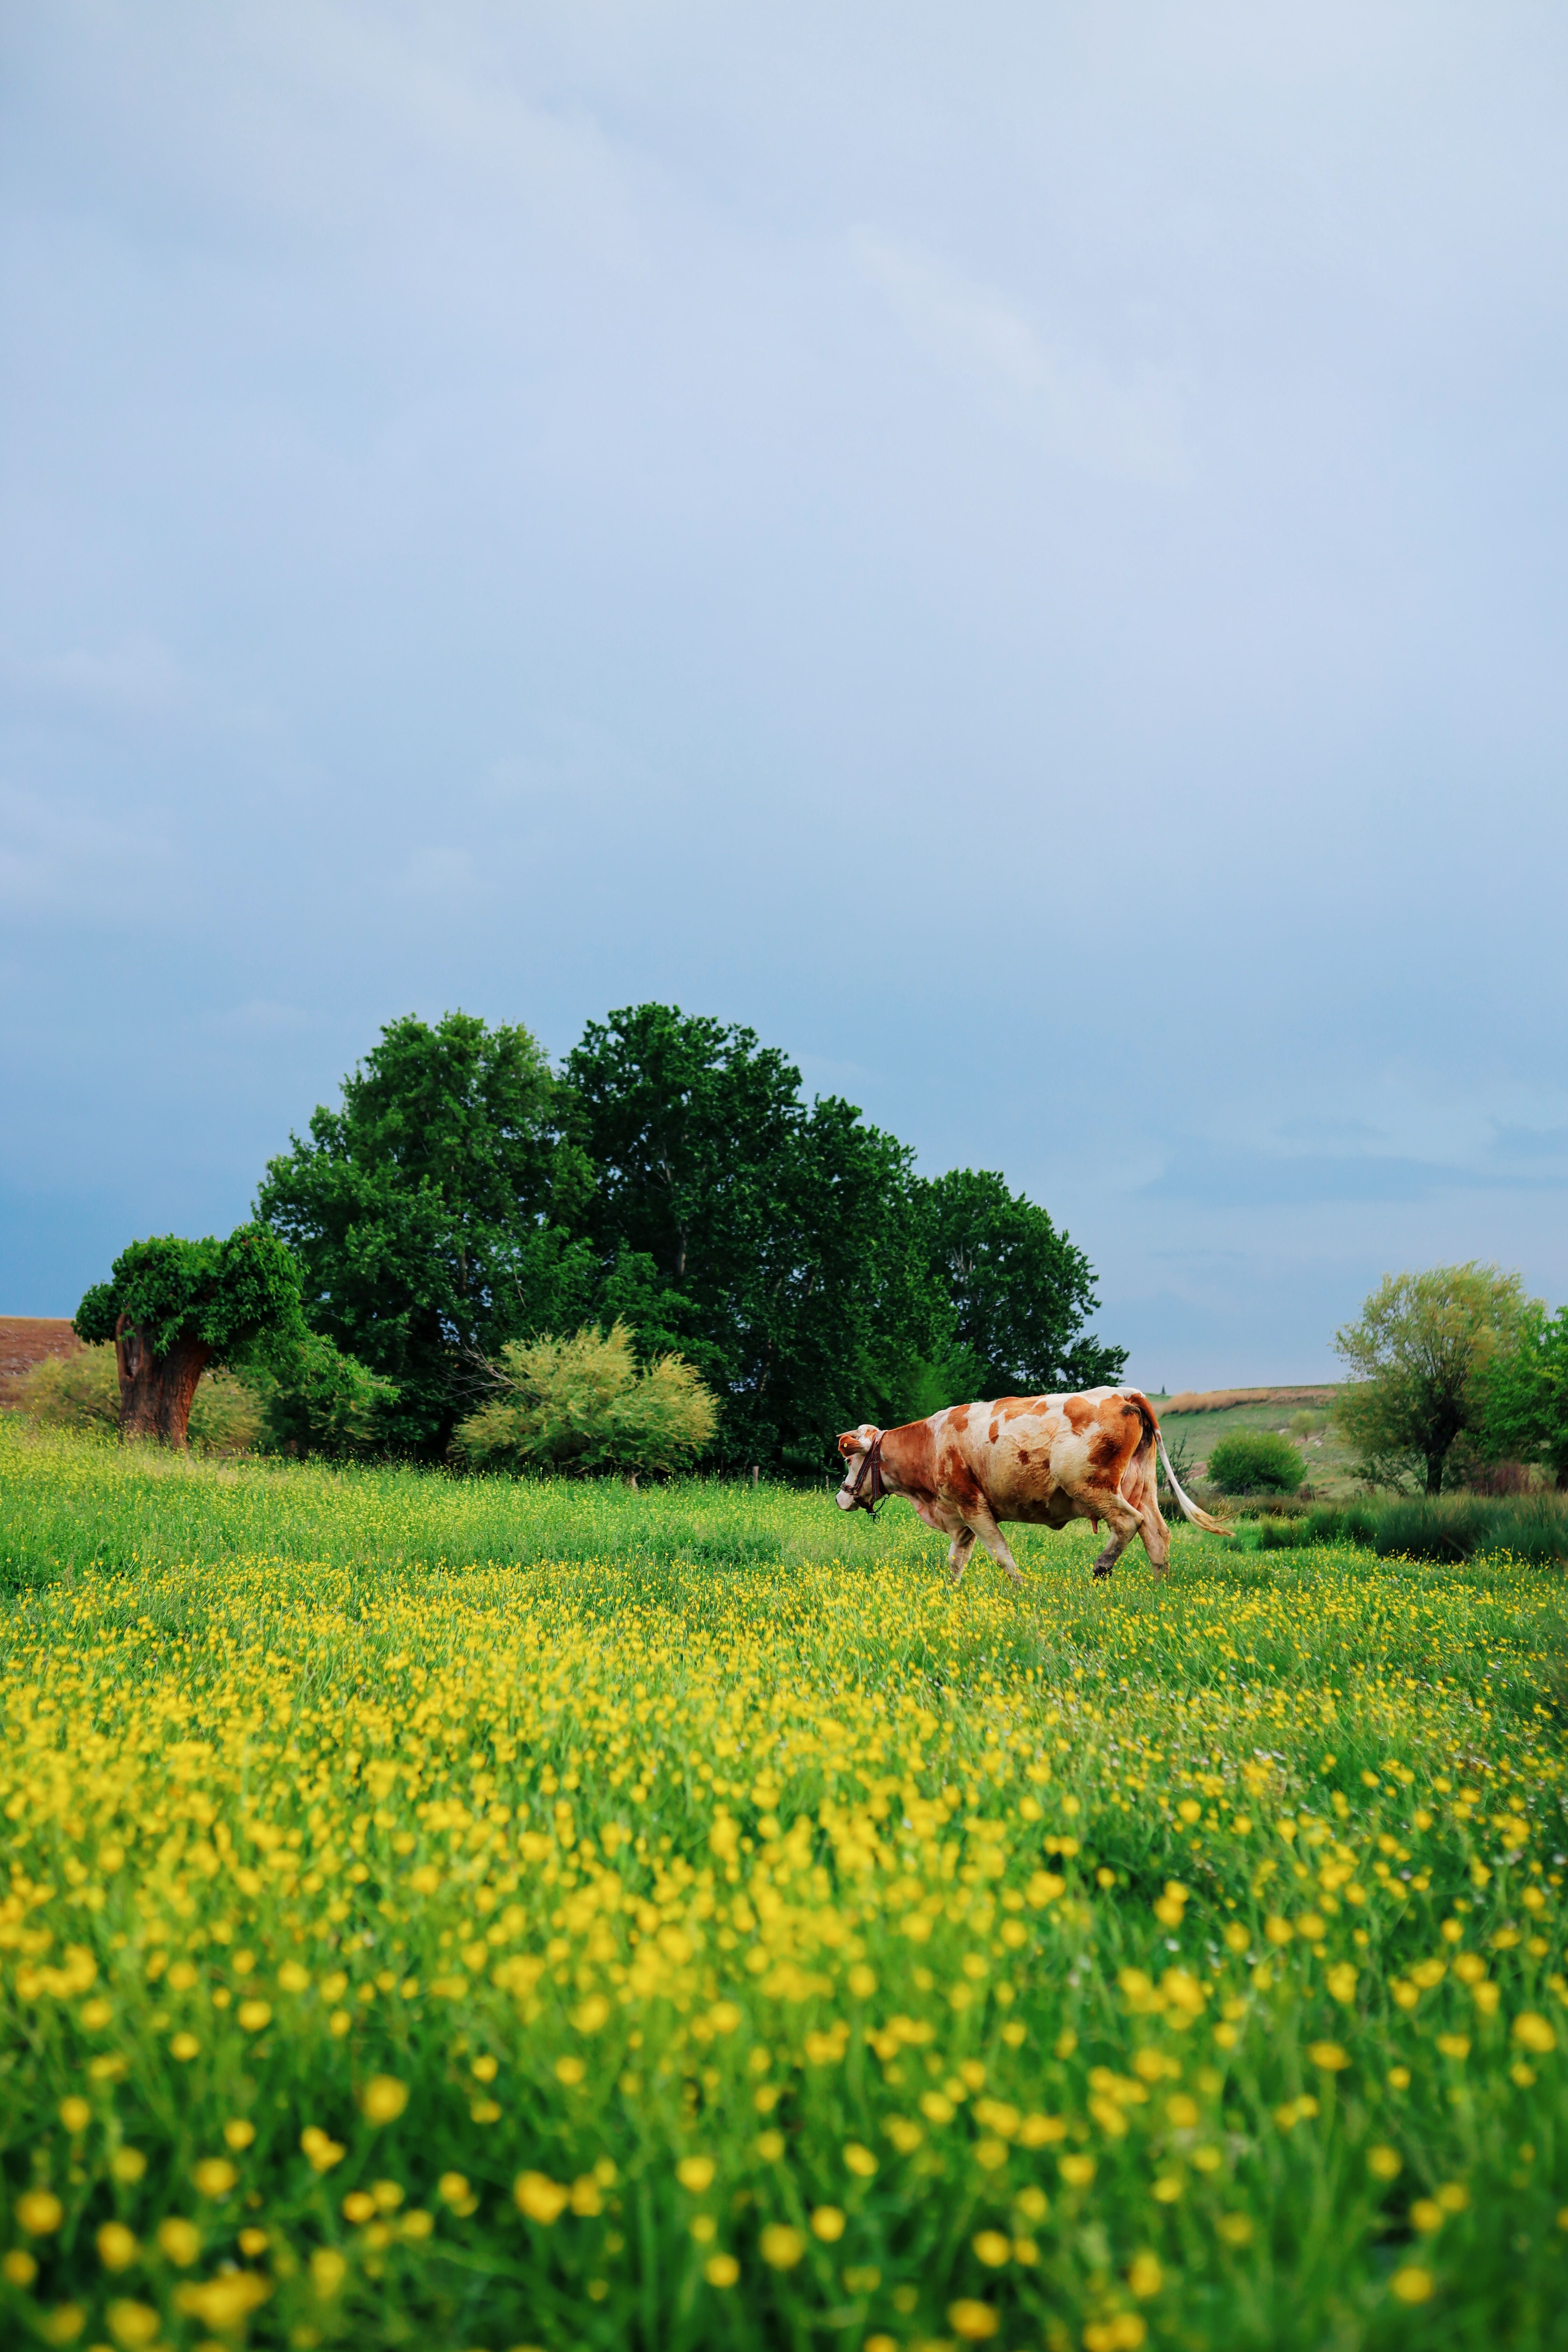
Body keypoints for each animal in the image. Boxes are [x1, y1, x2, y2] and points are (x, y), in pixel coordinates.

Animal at [835, 1386, 1228, 1584]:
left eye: (850, 1461)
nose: (841, 1495)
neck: (933, 1442)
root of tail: (1127, 1394)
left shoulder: (972, 1504)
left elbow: (1000, 1554)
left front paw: (1020, 1589)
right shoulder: (960, 1515)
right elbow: (956, 1561)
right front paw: (952, 1594)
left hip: (1091, 1485)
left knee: (1129, 1523)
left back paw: (1101, 1568)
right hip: (1141, 1487)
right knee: (1157, 1535)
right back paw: (1158, 1589)